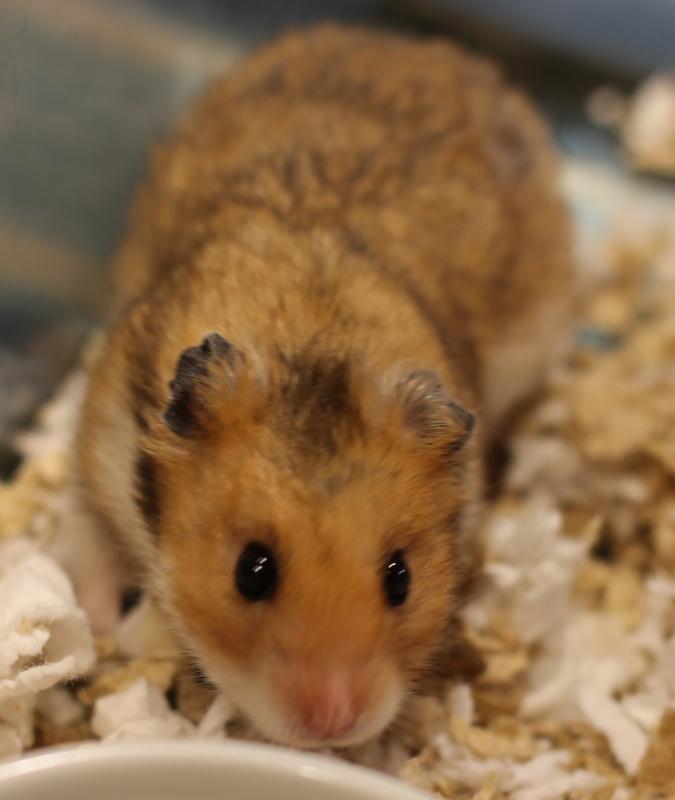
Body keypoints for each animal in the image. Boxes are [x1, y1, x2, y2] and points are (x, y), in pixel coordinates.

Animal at [76, 24, 574, 748]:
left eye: (400, 577)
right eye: (251, 571)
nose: (335, 722)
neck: (313, 335)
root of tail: (402, 40)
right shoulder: (100, 442)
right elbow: (87, 543)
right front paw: (103, 632)